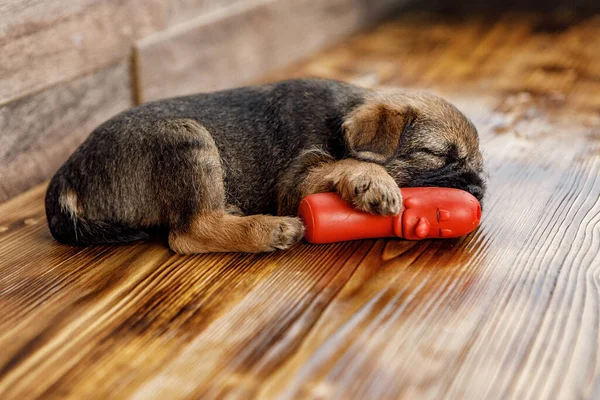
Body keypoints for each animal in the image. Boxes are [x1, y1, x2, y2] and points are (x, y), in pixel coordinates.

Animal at [44, 78, 486, 253]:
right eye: (437, 155)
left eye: (480, 166)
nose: (479, 190)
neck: (338, 121)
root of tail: (67, 173)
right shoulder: (295, 181)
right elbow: (342, 163)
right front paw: (371, 180)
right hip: (186, 136)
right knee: (188, 234)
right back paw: (269, 230)